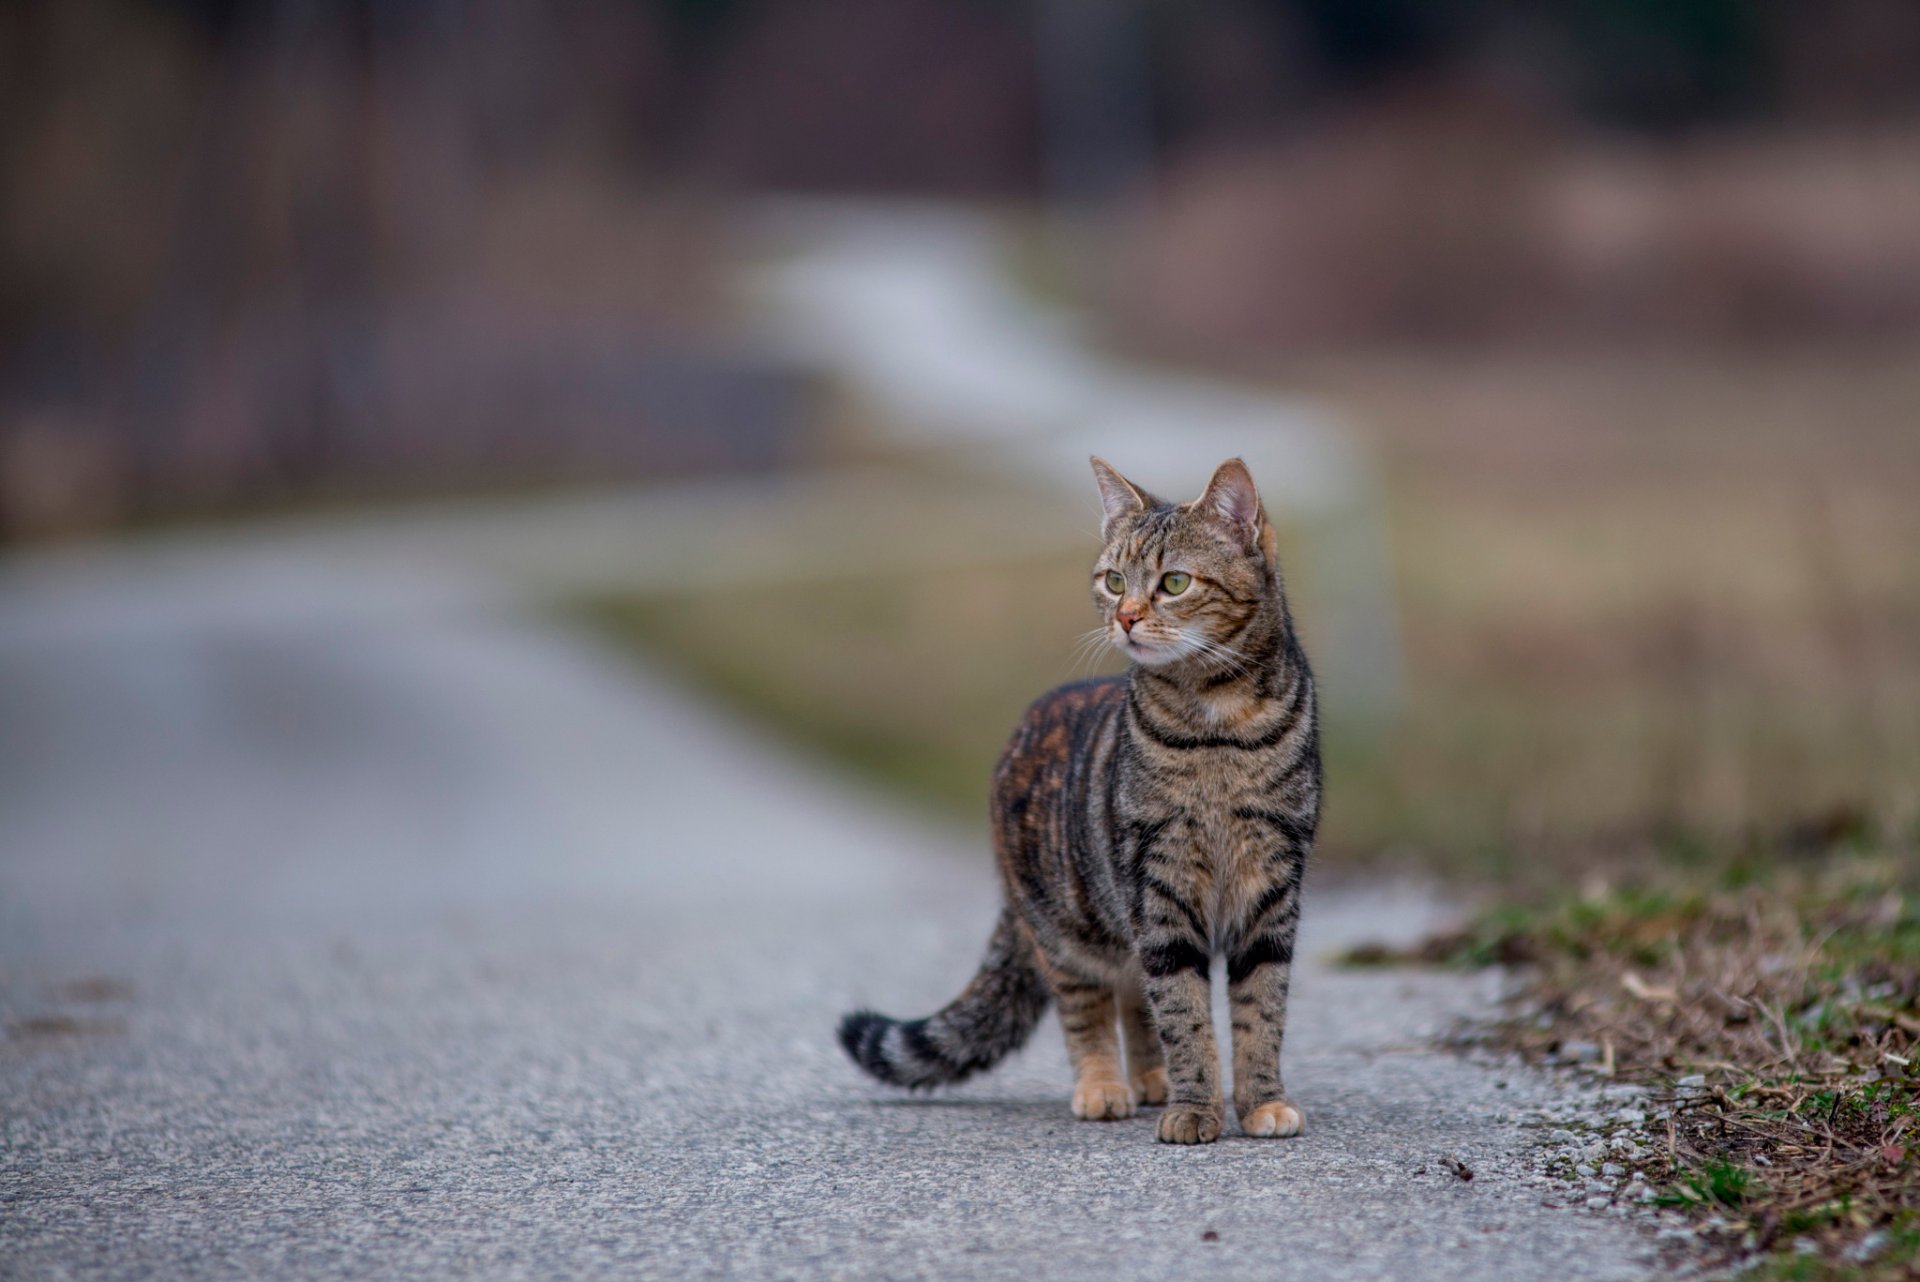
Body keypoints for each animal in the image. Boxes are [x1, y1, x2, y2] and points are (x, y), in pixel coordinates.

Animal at [840, 458, 1320, 1143]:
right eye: (1114, 580)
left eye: (1174, 582)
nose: (1125, 617)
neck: (1216, 724)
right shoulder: (1158, 884)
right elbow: (1184, 1012)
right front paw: (1195, 1108)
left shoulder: (1273, 883)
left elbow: (1260, 1009)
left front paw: (1260, 1101)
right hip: (1066, 925)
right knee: (1090, 1006)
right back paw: (1103, 1087)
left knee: (1134, 995)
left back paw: (1149, 1080)